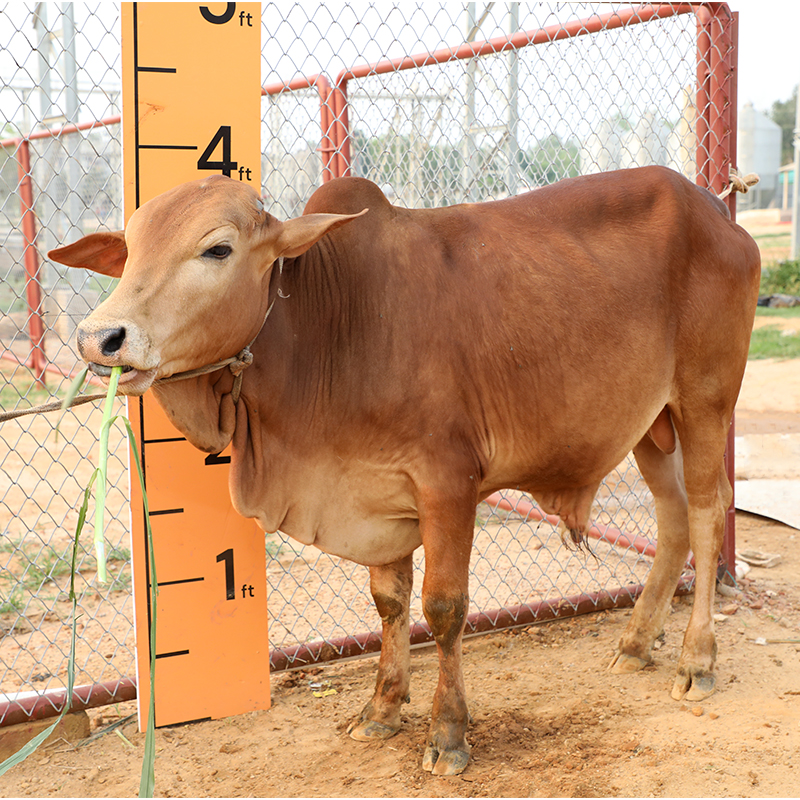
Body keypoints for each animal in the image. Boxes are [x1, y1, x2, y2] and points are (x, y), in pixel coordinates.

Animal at [50, 165, 760, 776]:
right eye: (130, 249)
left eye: (217, 249)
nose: (98, 338)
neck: (331, 325)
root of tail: (716, 208)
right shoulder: (374, 490)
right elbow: (388, 602)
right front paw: (382, 707)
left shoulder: (448, 481)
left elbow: (443, 609)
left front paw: (448, 733)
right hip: (651, 423)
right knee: (672, 520)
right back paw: (636, 643)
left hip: (705, 399)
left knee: (706, 513)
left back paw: (697, 658)